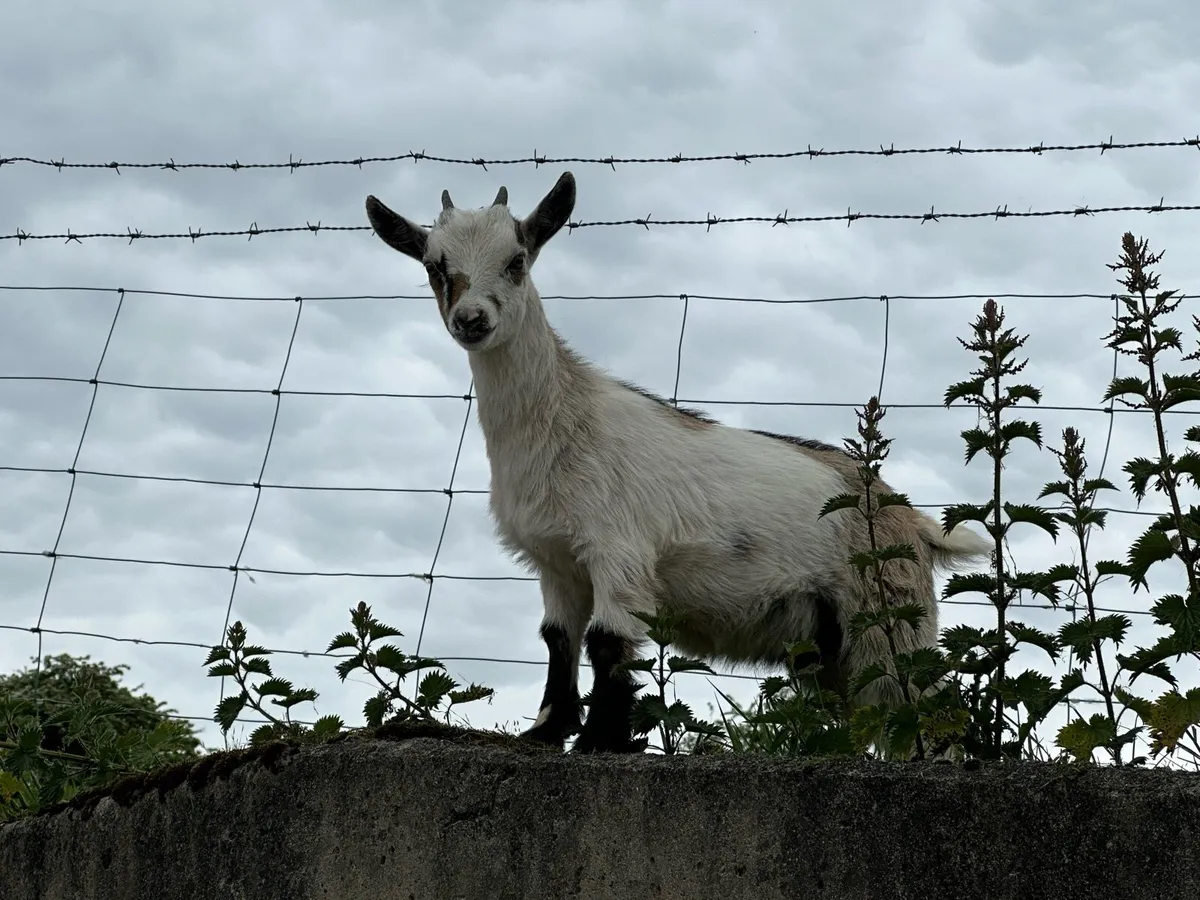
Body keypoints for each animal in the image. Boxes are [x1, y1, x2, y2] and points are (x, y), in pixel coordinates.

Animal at [364, 172, 992, 754]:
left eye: (517, 260)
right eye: (434, 266)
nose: (472, 319)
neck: (566, 418)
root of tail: (907, 517)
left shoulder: (619, 549)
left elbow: (607, 641)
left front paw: (600, 741)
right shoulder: (557, 563)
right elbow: (558, 640)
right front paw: (545, 732)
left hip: (886, 609)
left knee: (925, 700)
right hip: (827, 640)